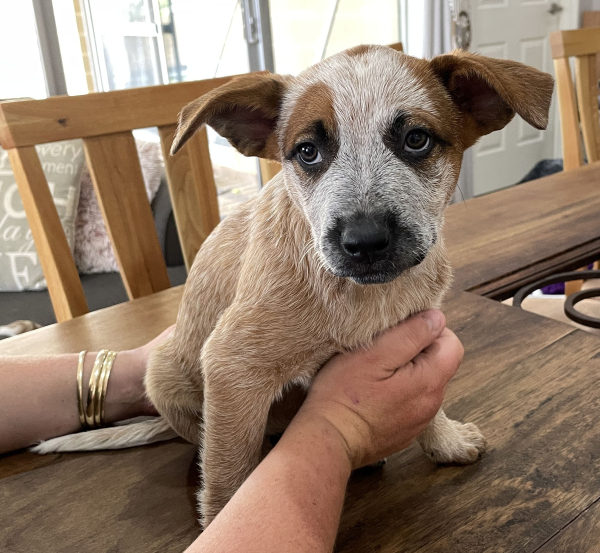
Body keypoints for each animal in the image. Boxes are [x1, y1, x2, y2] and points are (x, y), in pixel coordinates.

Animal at [36, 45, 552, 528]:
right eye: (308, 151)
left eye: (416, 139)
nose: (364, 241)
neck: (362, 295)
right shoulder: (231, 366)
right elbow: (228, 473)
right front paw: (224, 515)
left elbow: (431, 403)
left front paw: (445, 441)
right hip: (164, 374)